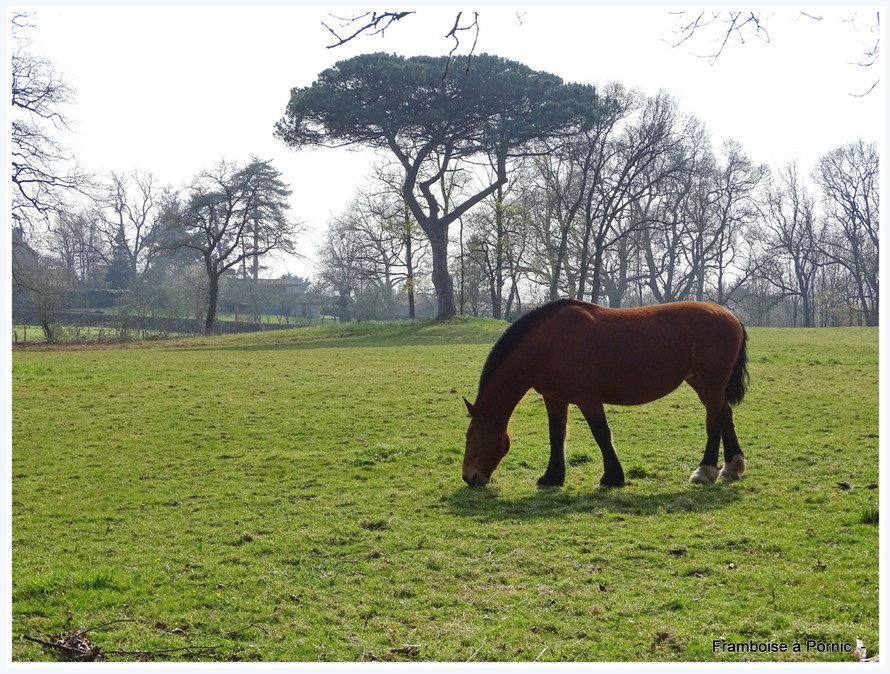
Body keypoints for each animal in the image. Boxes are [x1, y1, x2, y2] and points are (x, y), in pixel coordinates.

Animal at [462, 300, 744, 488]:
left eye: (470, 435)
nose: (468, 477)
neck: (550, 343)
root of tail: (729, 314)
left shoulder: (588, 398)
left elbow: (601, 434)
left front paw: (612, 477)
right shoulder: (555, 398)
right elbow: (557, 434)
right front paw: (553, 477)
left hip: (711, 382)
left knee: (714, 420)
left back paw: (705, 471)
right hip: (701, 383)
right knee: (725, 415)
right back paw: (733, 466)